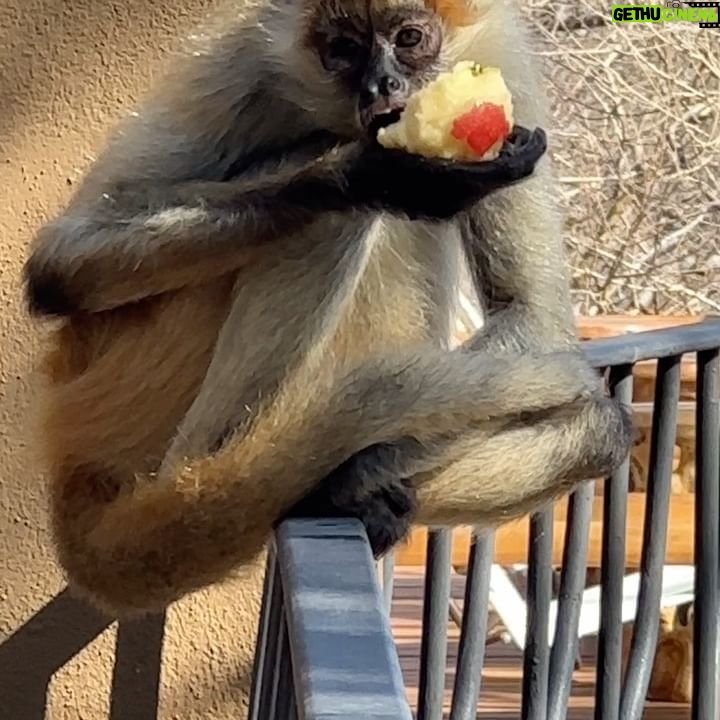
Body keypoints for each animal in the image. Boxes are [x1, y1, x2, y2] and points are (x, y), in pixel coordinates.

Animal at [23, 0, 633, 617]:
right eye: (343, 50)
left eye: (409, 39)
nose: (381, 84)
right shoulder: (244, 57)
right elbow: (61, 266)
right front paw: (376, 176)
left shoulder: (503, 57)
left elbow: (534, 318)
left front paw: (356, 474)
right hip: (123, 380)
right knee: (327, 203)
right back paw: (225, 482)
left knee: (599, 428)